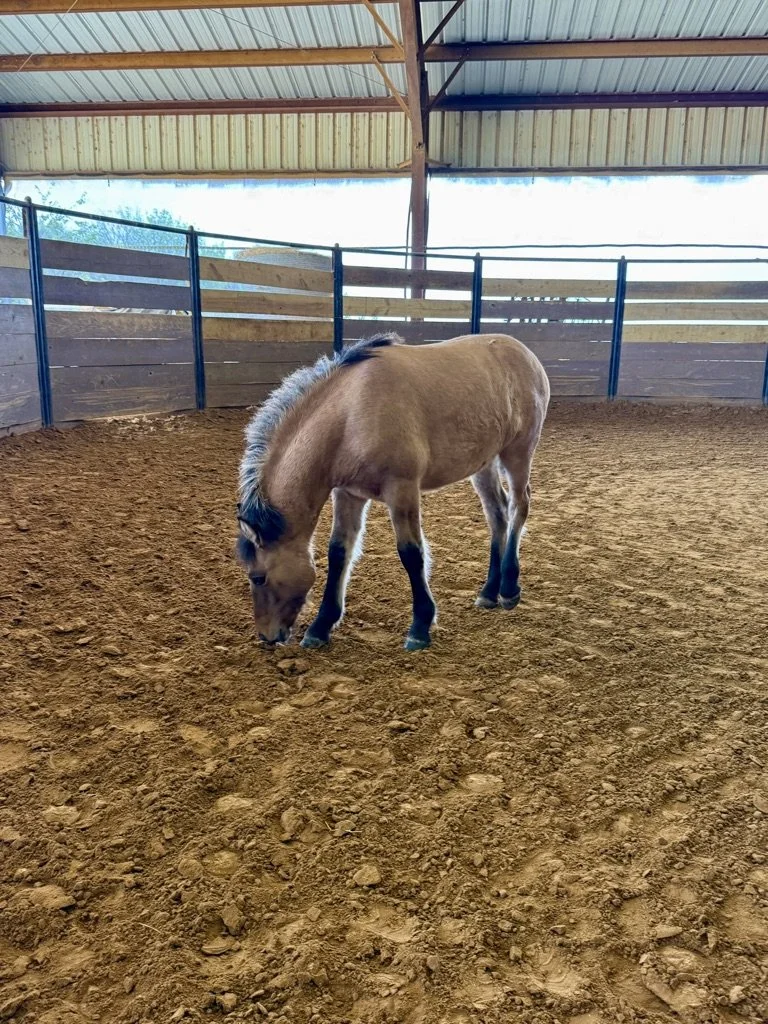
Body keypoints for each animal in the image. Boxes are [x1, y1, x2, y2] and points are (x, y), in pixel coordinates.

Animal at [236, 332, 550, 651]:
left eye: (258, 577)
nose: (267, 636)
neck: (350, 414)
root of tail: (524, 353)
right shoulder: (349, 494)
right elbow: (339, 552)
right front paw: (321, 627)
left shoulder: (402, 489)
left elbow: (411, 553)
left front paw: (420, 626)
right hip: (483, 464)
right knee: (497, 515)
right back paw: (489, 591)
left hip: (518, 453)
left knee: (518, 507)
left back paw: (509, 588)